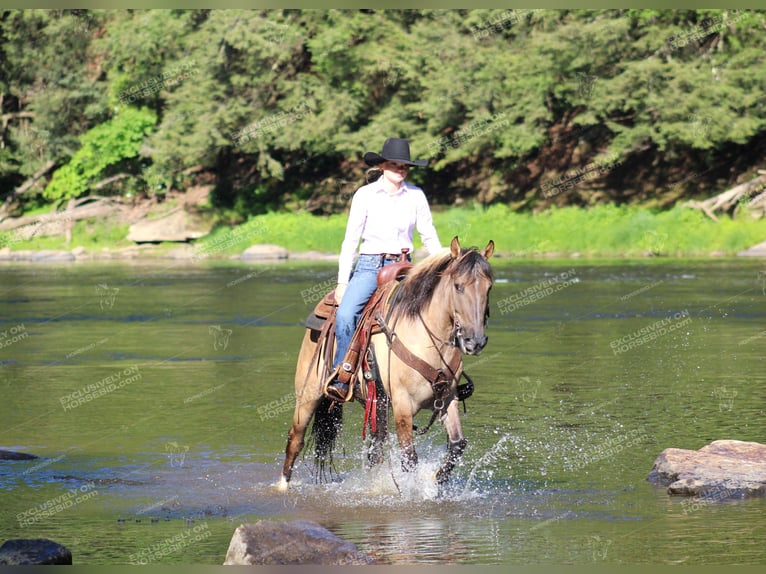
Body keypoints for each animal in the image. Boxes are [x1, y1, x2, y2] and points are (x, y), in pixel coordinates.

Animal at [280, 236, 496, 492]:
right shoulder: (402, 405)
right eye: (458, 286)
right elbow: (409, 458)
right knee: (295, 439)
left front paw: (435, 480)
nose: (475, 341)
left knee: (376, 450)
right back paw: (282, 486)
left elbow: (457, 445)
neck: (426, 340)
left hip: (377, 404)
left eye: (489, 287)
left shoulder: (447, 399)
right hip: (309, 393)